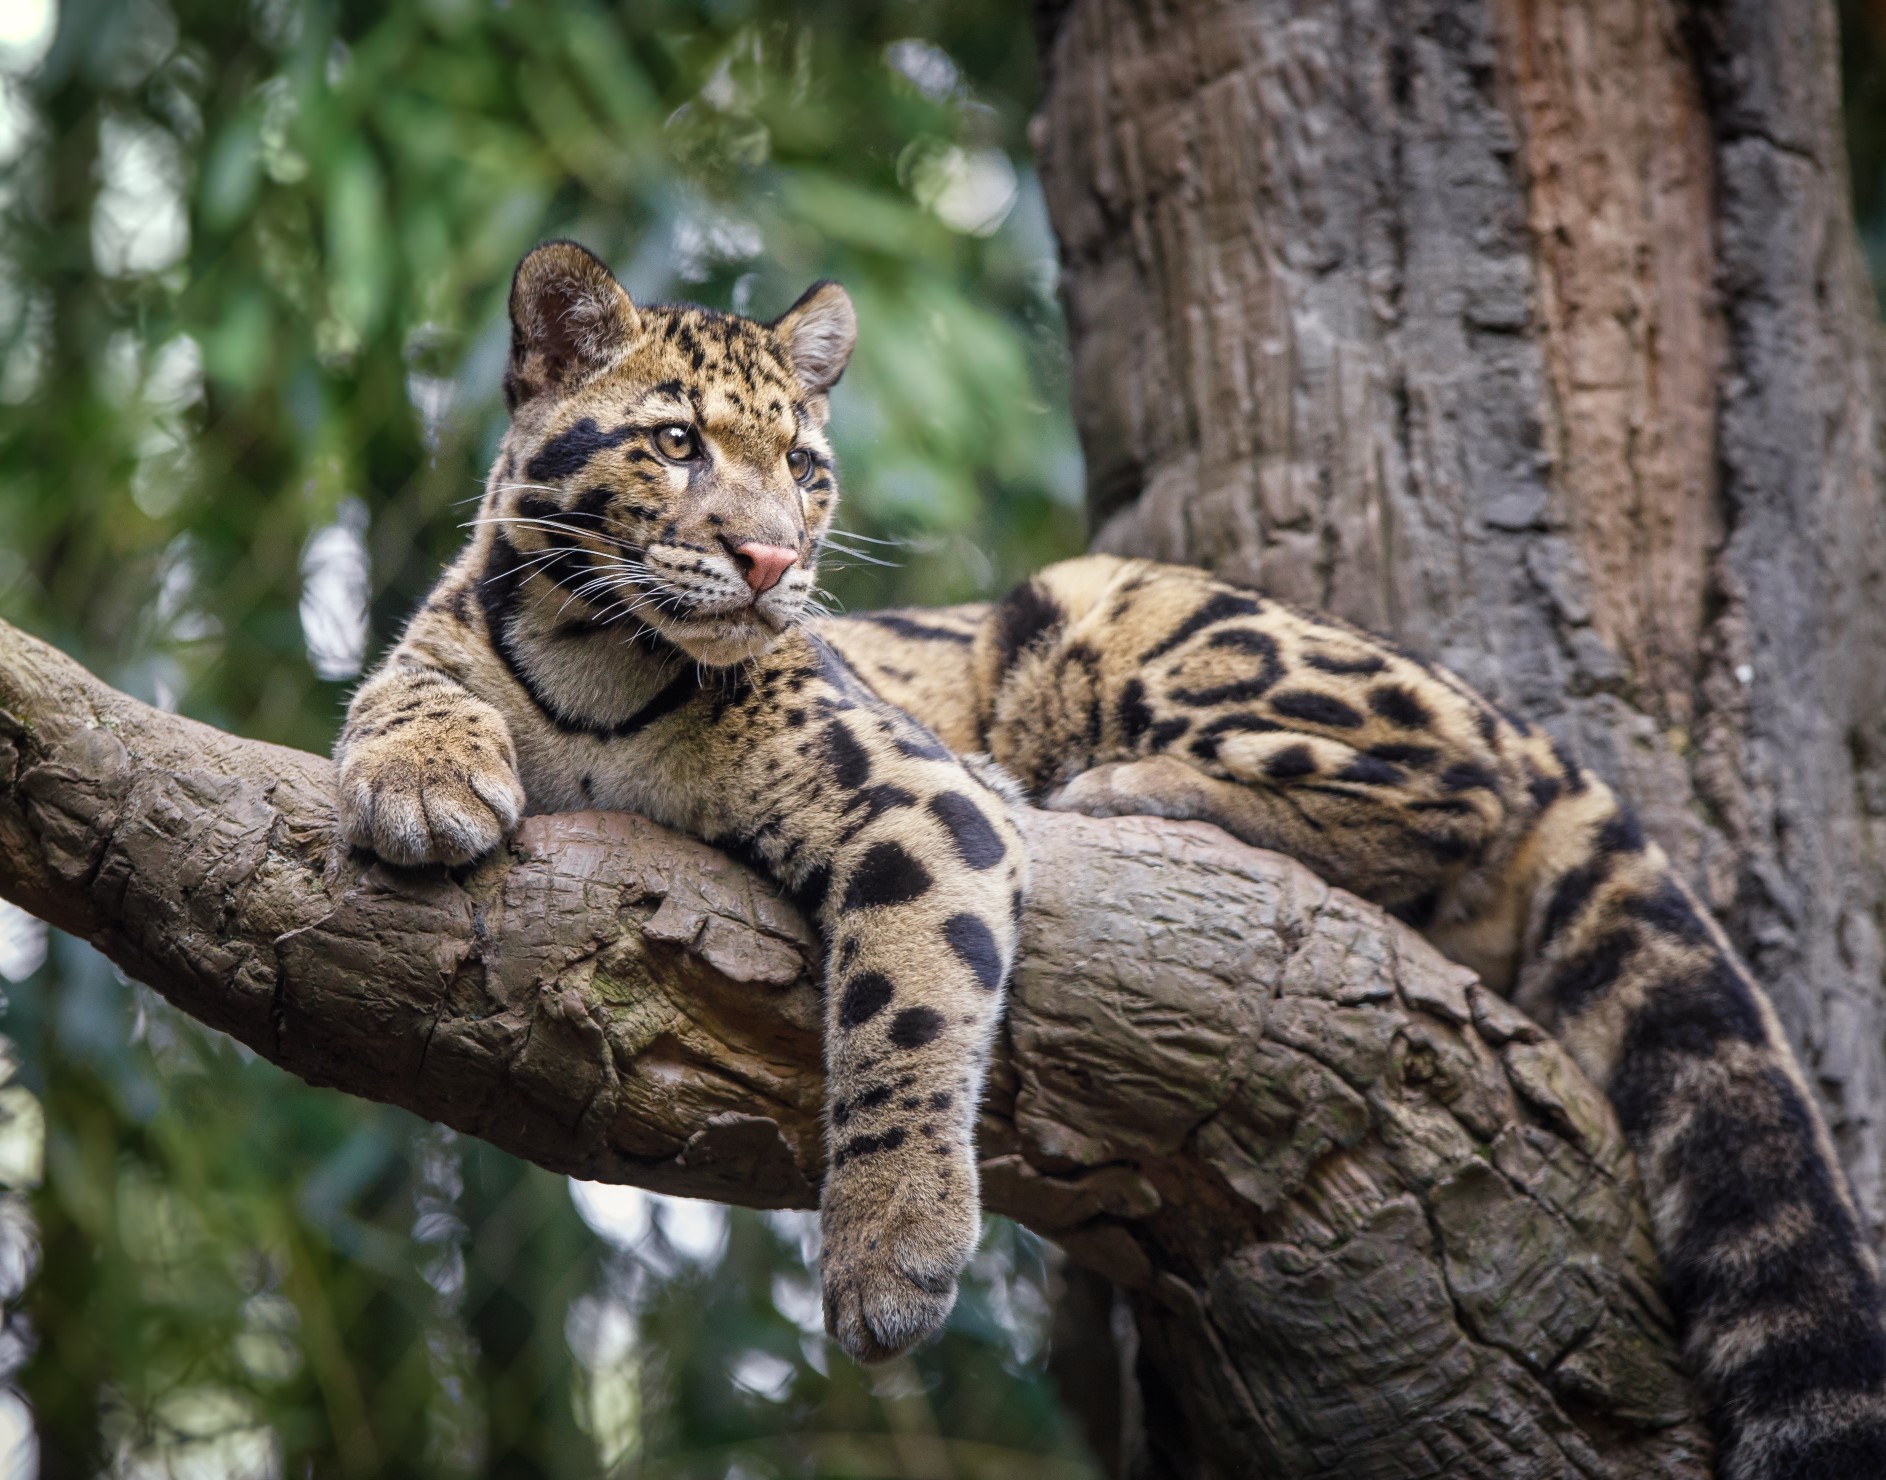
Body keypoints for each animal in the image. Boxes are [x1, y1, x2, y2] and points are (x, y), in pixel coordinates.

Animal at [343, 236, 1886, 1470]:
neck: (597, 656)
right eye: (673, 444)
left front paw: (889, 1248)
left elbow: (904, 1009)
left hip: (1124, 611)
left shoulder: (915, 791)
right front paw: (422, 782)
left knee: (1455, 789)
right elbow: (400, 687)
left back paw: (1123, 786)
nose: (775, 562)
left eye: (805, 468)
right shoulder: (452, 641)